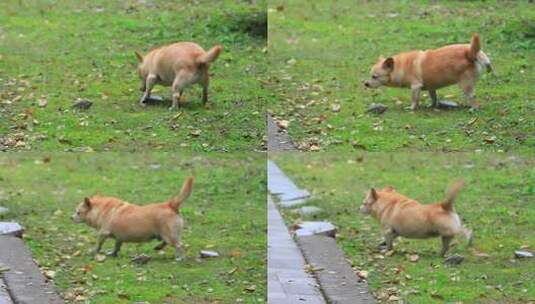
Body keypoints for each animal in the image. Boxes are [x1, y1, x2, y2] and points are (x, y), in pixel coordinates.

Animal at [364, 33, 494, 110]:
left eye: (374, 76)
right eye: (370, 76)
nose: (366, 84)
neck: (401, 66)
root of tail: (470, 54)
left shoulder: (415, 87)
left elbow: (414, 99)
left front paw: (412, 108)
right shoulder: (432, 87)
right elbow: (433, 97)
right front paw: (432, 105)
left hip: (465, 85)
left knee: (472, 96)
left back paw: (473, 108)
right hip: (475, 52)